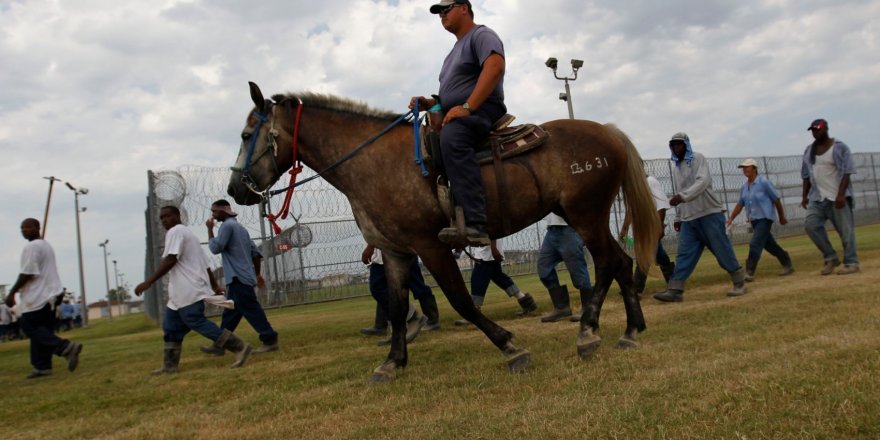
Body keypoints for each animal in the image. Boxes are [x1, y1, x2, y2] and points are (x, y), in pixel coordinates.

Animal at [229, 81, 660, 382]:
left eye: (247, 136)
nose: (235, 190)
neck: (373, 162)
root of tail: (608, 133)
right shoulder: (395, 252)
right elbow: (397, 307)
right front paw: (392, 362)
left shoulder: (430, 246)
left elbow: (462, 300)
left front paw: (510, 347)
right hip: (590, 216)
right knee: (621, 262)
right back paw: (631, 331)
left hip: (585, 215)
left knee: (607, 263)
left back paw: (588, 332)